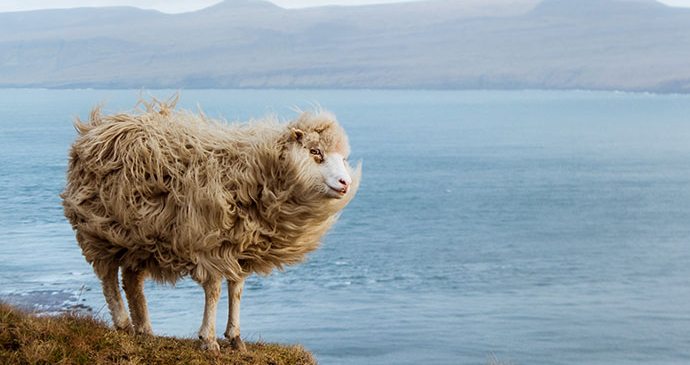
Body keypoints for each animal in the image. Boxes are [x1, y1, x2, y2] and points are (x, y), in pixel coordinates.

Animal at [60, 95, 360, 352]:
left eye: (344, 158)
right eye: (315, 151)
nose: (345, 183)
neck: (260, 171)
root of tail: (96, 128)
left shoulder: (239, 247)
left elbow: (236, 290)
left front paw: (236, 338)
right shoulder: (210, 244)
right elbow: (214, 291)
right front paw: (209, 340)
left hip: (136, 236)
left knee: (132, 280)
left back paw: (144, 329)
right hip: (99, 229)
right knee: (108, 277)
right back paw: (123, 323)